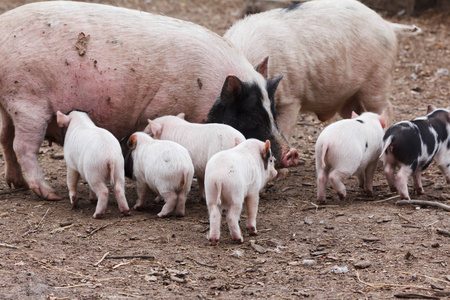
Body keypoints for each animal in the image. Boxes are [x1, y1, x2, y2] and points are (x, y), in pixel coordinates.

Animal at [0, 2, 298, 200]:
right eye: (251, 117)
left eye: (272, 112)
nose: (291, 152)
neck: (205, 90)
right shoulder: (163, 107)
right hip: (27, 99)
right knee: (22, 146)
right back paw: (48, 193)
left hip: (8, 105)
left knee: (5, 138)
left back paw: (17, 184)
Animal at [225, 0, 422, 138]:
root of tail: (387, 24)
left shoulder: (291, 97)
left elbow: (284, 127)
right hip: (352, 95)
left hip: (377, 79)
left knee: (385, 108)